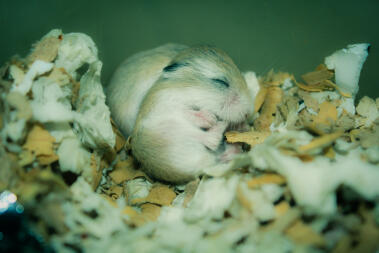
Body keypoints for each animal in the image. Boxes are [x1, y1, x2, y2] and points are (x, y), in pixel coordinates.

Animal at [107, 44, 255, 184]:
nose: (247, 114)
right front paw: (210, 119)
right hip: (174, 129)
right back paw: (221, 125)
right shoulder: (168, 103)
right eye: (221, 81)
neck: (188, 89)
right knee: (211, 140)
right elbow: (188, 112)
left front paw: (242, 125)